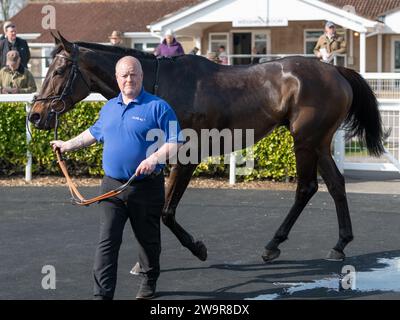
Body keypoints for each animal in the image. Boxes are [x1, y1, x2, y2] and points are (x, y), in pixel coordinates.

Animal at [28, 32, 384, 262]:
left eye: (59, 69)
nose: (35, 115)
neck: (160, 86)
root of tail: (335, 70)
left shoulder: (186, 157)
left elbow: (166, 212)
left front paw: (197, 248)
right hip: (319, 142)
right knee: (335, 184)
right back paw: (339, 243)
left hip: (305, 140)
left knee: (306, 187)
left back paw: (274, 244)